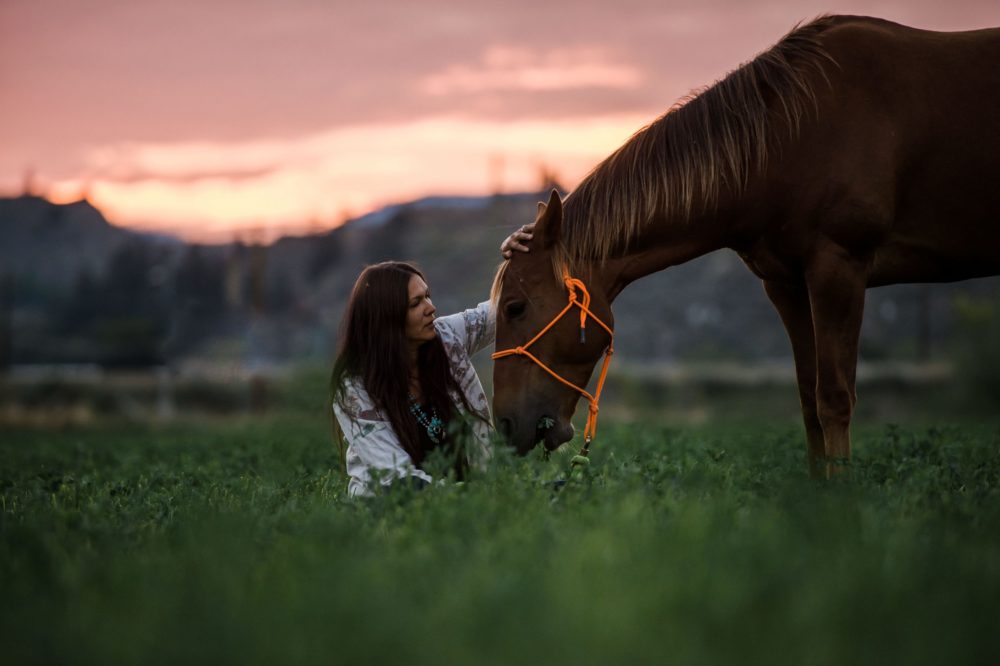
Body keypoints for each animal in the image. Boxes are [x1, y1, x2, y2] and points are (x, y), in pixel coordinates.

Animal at [490, 15, 1000, 477]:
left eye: (515, 307)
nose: (506, 425)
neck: (790, 138)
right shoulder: (788, 285)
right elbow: (808, 399)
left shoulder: (839, 269)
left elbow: (834, 398)